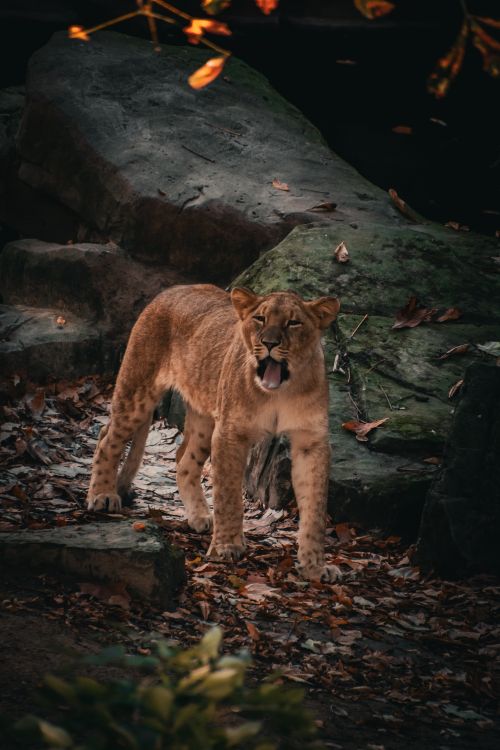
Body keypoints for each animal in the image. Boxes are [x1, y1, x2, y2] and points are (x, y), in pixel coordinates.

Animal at [86, 284, 341, 581]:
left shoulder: (311, 442)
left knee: (184, 462)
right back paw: (102, 496)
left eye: (293, 322)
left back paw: (199, 516)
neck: (279, 392)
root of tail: (170, 290)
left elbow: (314, 509)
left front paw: (315, 567)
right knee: (106, 437)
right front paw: (226, 547)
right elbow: (228, 494)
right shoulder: (230, 432)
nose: (269, 343)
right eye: (260, 319)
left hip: (204, 416)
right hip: (137, 390)